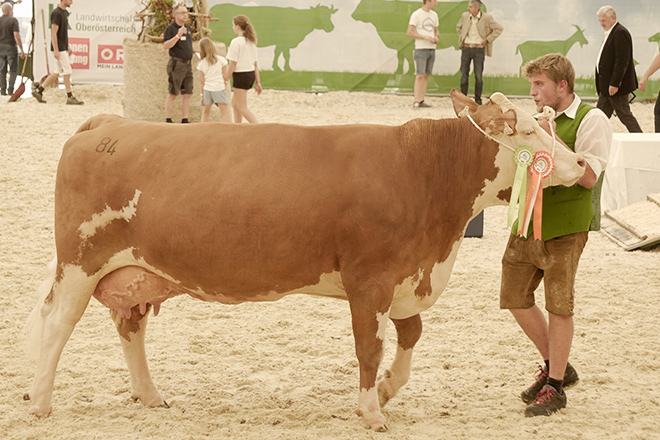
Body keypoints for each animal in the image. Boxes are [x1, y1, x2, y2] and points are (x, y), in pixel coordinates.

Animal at [23, 90, 586, 431]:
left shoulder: (406, 278)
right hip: (79, 263)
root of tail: (108, 122)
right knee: (56, 324)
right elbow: (370, 349)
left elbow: (409, 338)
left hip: (136, 272)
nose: (581, 162)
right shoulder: (369, 281)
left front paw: (386, 391)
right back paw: (41, 402)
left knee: (130, 326)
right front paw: (371, 412)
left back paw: (149, 395)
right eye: (527, 132)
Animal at [208, 4, 338, 71]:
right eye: (319, 15)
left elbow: (278, 53)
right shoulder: (284, 42)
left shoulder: (281, 42)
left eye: (329, 15)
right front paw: (286, 68)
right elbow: (285, 54)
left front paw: (277, 67)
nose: (331, 27)